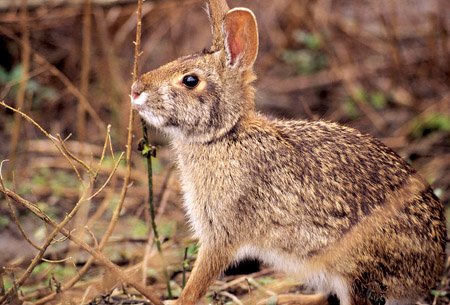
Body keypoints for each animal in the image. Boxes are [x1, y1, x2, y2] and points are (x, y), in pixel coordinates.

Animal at [130, 0, 446, 304]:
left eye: (190, 81)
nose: (135, 90)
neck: (224, 135)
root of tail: (430, 273)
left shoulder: (221, 234)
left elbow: (198, 283)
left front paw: (178, 300)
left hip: (356, 269)